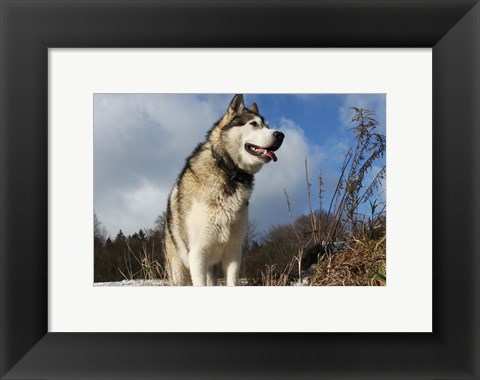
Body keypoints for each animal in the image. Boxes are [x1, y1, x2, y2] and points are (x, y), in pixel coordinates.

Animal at [165, 95, 284, 284]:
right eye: (253, 124)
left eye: (268, 126)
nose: (281, 135)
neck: (228, 171)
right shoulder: (198, 254)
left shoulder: (234, 252)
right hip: (179, 270)